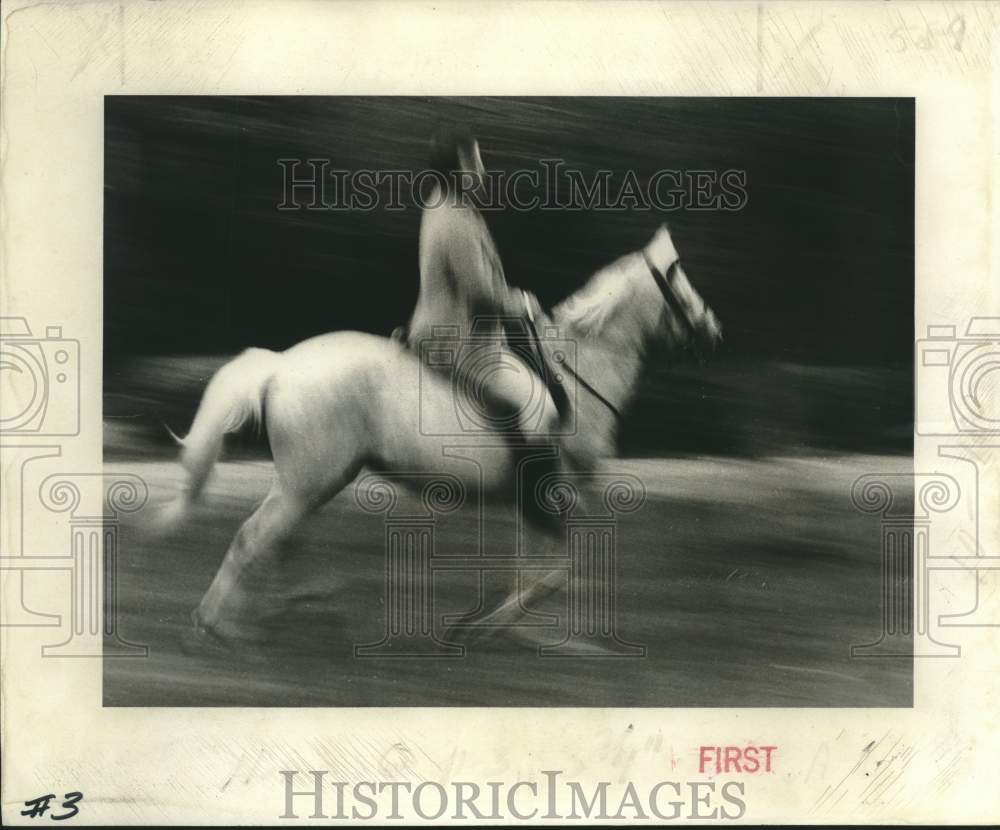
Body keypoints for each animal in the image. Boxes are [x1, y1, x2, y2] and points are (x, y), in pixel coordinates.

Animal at [168, 226, 724, 644]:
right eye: (680, 282)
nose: (713, 332)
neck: (580, 373)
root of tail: (280, 366)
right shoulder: (553, 491)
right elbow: (552, 573)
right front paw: (486, 627)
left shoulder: (535, 499)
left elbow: (531, 567)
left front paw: (486, 622)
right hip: (308, 481)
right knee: (255, 538)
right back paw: (217, 625)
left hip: (318, 481)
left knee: (278, 540)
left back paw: (286, 606)